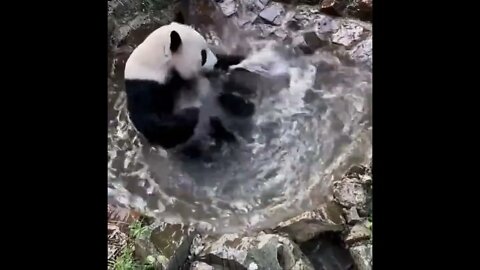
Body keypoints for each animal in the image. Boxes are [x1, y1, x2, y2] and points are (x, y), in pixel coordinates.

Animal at [124, 14, 255, 154]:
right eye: (203, 55)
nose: (214, 64)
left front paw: (239, 60)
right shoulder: (144, 86)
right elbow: (153, 126)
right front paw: (192, 113)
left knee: (229, 102)